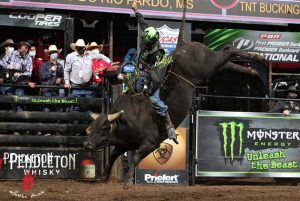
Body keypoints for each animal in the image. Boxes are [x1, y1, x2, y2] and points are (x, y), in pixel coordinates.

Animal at [82, 0, 264, 188]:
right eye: (89, 129)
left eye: (104, 127)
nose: (87, 143)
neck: (124, 120)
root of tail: (182, 45)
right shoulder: (123, 143)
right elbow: (112, 156)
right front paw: (105, 175)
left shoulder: (151, 143)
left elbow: (135, 158)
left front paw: (126, 181)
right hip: (209, 70)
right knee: (228, 62)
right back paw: (254, 70)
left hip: (207, 64)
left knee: (228, 49)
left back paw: (257, 58)